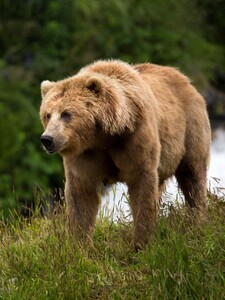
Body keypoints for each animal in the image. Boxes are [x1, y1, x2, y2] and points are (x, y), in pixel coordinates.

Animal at [40, 59, 211, 250]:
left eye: (66, 114)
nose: (47, 139)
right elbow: (81, 195)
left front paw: (141, 243)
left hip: (190, 128)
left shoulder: (135, 140)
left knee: (192, 177)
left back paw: (197, 222)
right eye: (47, 114)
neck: (104, 136)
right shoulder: (85, 154)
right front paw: (80, 245)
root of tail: (184, 79)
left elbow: (142, 187)